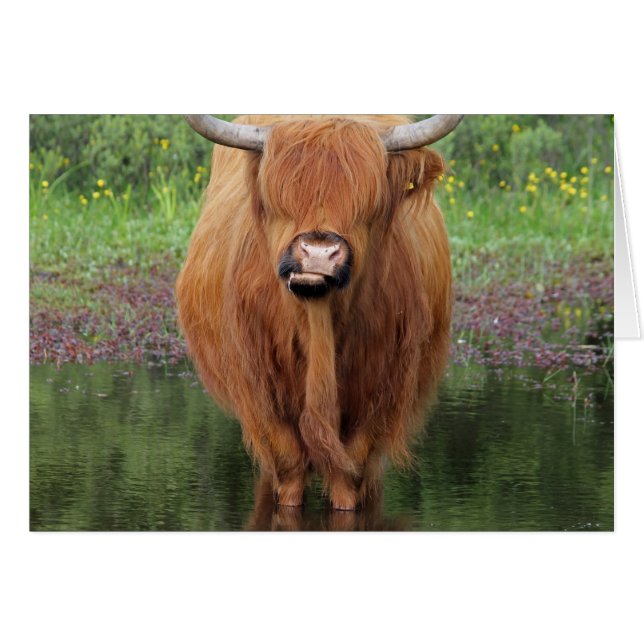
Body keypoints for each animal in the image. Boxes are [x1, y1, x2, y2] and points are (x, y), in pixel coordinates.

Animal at [175, 114, 463, 511]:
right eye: (277, 198)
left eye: (369, 203)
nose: (318, 252)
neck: (318, 322)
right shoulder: (259, 389)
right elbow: (288, 465)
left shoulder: (382, 389)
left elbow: (350, 472)